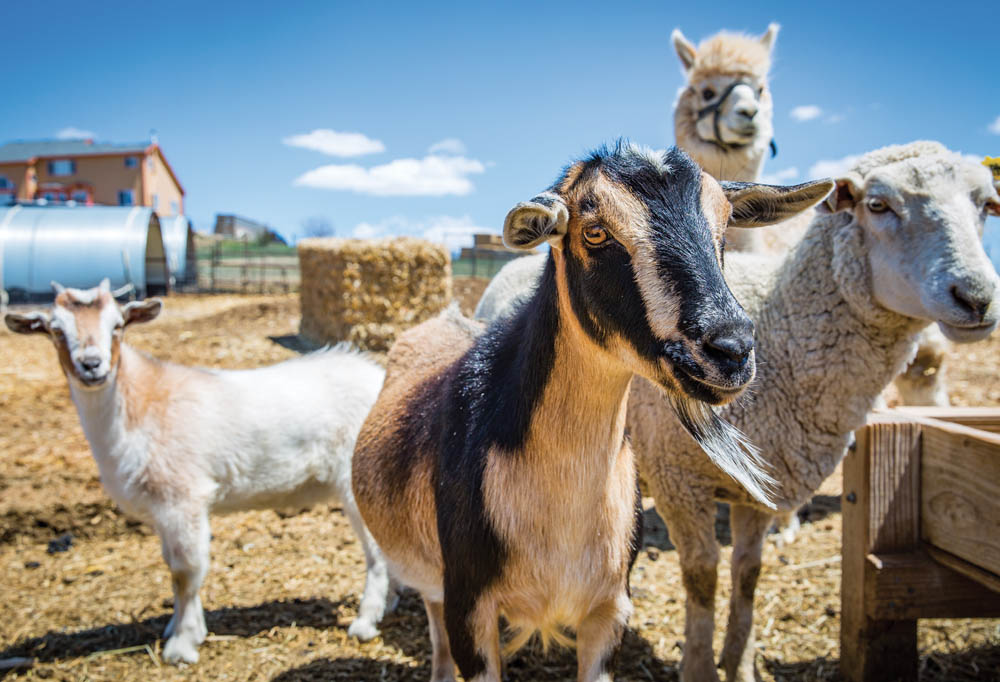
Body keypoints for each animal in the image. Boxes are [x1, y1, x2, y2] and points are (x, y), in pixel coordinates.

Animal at [3, 282, 394, 664]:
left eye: (117, 326)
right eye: (55, 330)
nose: (91, 365)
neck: (139, 404)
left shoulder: (182, 497)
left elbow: (184, 572)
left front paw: (183, 644)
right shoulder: (162, 508)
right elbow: (171, 565)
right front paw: (176, 627)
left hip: (357, 483)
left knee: (377, 551)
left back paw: (365, 621)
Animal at [348, 143, 832, 680]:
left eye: (724, 228)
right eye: (594, 231)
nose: (730, 350)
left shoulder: (610, 608)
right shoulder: (470, 607)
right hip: (435, 580)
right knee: (433, 617)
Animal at [632, 139, 1000, 680]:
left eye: (986, 205)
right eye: (878, 205)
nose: (977, 298)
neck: (779, 327)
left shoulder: (762, 485)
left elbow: (747, 574)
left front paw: (739, 662)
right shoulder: (677, 478)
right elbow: (702, 577)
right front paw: (700, 667)